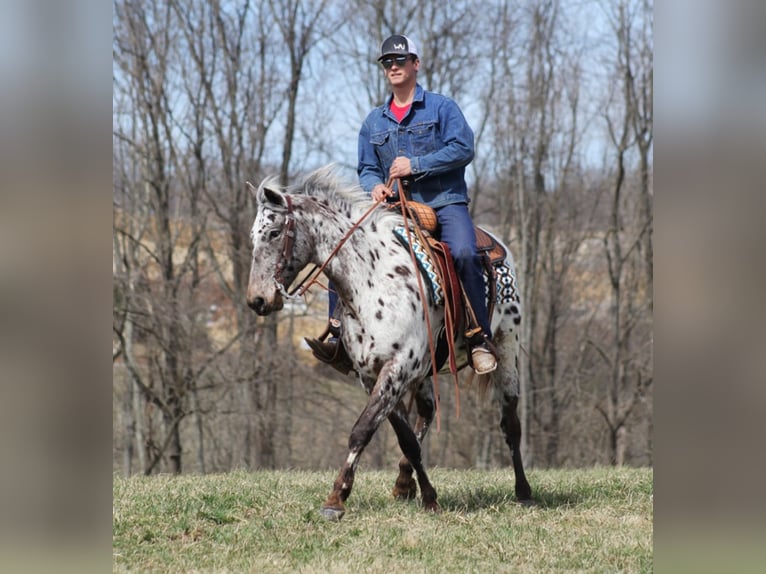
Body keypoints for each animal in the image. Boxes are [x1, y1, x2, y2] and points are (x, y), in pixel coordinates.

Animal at [248, 163, 536, 520]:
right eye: (253, 237)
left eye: (274, 233)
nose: (257, 300)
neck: (374, 282)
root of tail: (498, 245)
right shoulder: (373, 375)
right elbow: (405, 438)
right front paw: (424, 494)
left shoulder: (396, 369)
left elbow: (362, 429)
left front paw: (336, 498)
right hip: (426, 372)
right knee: (426, 413)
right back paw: (404, 481)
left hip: (506, 349)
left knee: (510, 422)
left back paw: (524, 491)